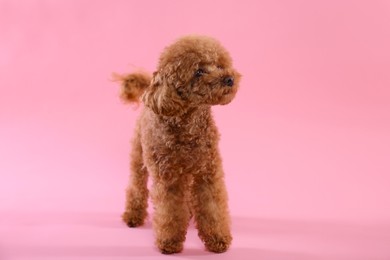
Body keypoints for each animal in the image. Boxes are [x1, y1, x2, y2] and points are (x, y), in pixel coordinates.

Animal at [115, 34, 241, 254]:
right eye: (198, 72)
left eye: (219, 65)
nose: (229, 79)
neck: (190, 126)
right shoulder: (168, 177)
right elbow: (170, 212)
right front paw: (170, 242)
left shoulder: (208, 172)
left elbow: (213, 208)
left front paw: (218, 239)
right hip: (139, 156)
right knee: (136, 186)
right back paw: (133, 215)